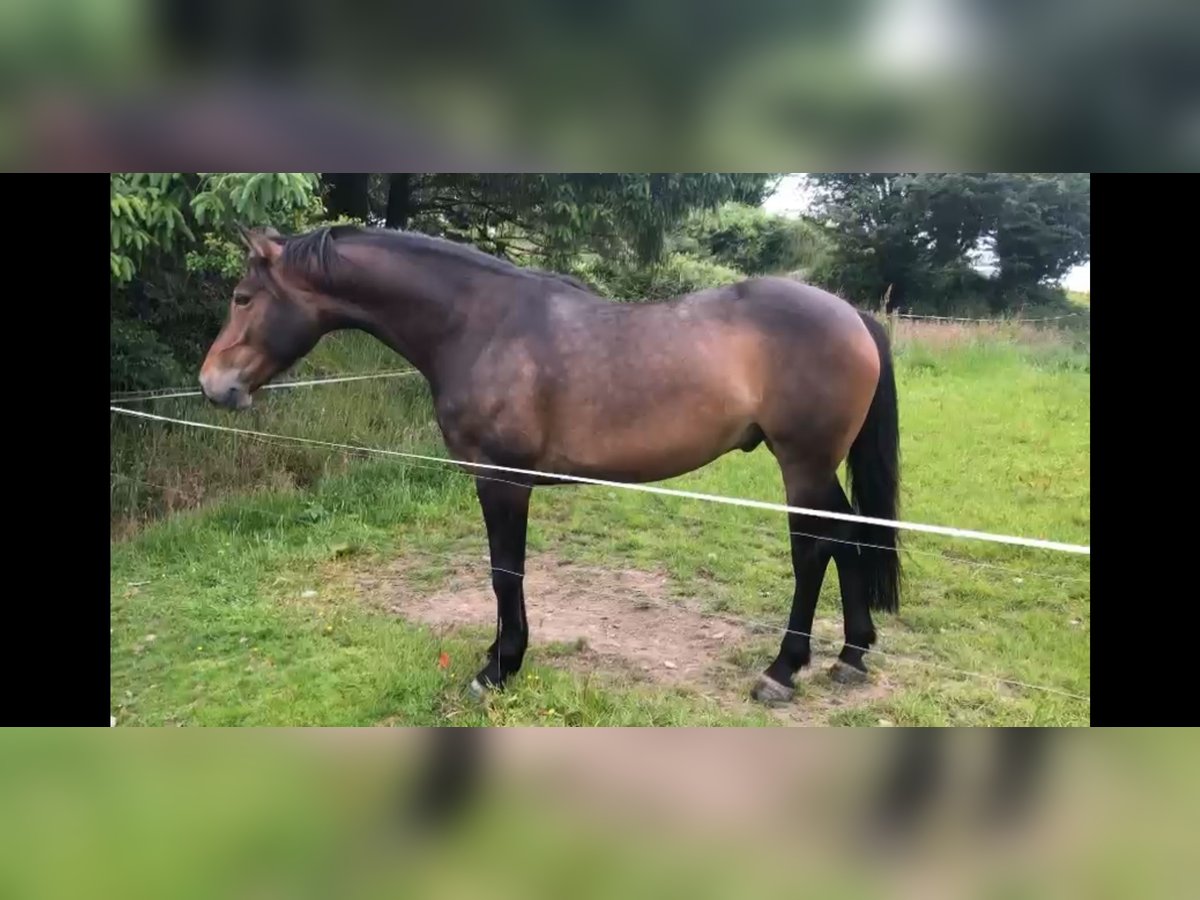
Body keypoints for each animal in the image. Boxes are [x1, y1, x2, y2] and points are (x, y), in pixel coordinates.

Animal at [199, 224, 902, 705]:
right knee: (851, 538)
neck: (478, 325)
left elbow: (504, 573)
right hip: (818, 468)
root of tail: (852, 314)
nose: (213, 385)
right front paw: (497, 655)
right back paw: (851, 655)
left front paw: (497, 668)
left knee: (814, 548)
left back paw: (783, 671)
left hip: (803, 464)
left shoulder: (502, 481)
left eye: (242, 297)